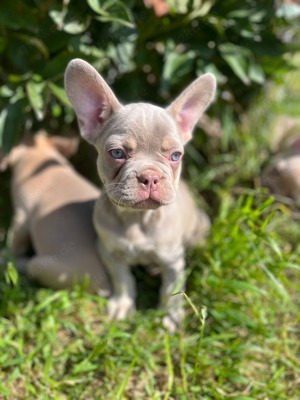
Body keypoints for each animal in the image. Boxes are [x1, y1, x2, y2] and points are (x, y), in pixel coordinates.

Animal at [0, 132, 110, 296]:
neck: (39, 155)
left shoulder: (21, 217)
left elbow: (16, 243)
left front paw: (8, 254)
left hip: (43, 266)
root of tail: (106, 286)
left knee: (30, 265)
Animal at [65, 57, 216, 332]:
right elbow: (123, 279)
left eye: (175, 156)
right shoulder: (109, 251)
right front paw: (123, 305)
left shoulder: (173, 261)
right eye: (117, 153)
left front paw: (170, 318)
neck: (136, 219)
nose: (150, 176)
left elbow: (171, 291)